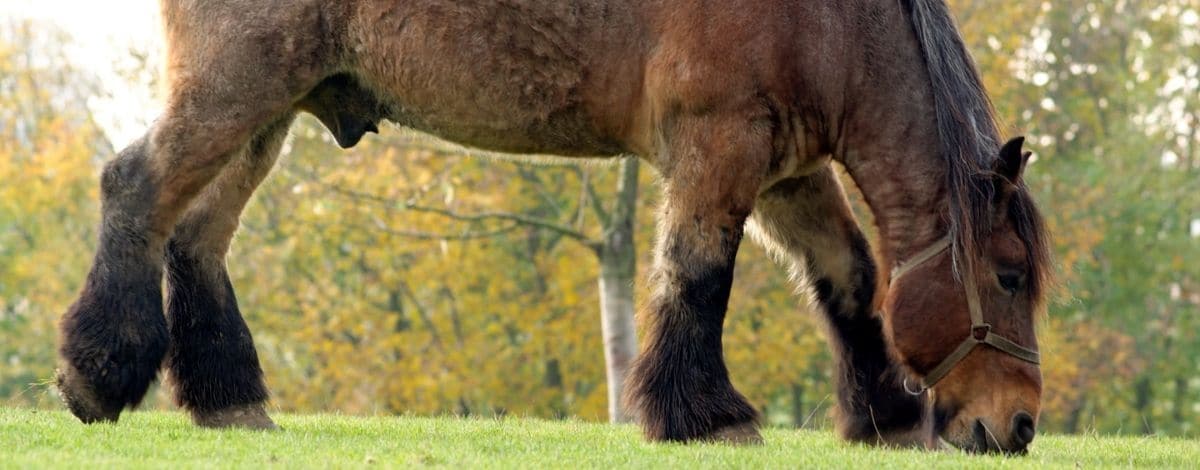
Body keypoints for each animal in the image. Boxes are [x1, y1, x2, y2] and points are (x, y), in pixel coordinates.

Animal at [56, 0, 1051, 455]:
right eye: (1008, 276)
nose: (1017, 426)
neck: (831, 25)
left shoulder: (786, 172)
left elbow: (849, 278)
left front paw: (886, 415)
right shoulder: (718, 152)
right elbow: (698, 276)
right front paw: (703, 414)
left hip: (266, 113)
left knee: (196, 238)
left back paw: (229, 398)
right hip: (236, 92)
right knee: (135, 189)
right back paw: (98, 372)